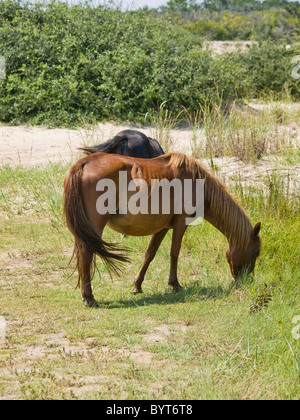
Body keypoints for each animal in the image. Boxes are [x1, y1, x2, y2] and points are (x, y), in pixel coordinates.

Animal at [63, 153, 260, 306]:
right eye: (256, 253)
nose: (247, 280)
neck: (196, 182)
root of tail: (84, 163)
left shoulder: (163, 227)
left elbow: (150, 254)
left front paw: (137, 285)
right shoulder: (181, 223)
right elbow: (174, 253)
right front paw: (175, 284)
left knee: (81, 254)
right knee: (86, 254)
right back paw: (89, 297)